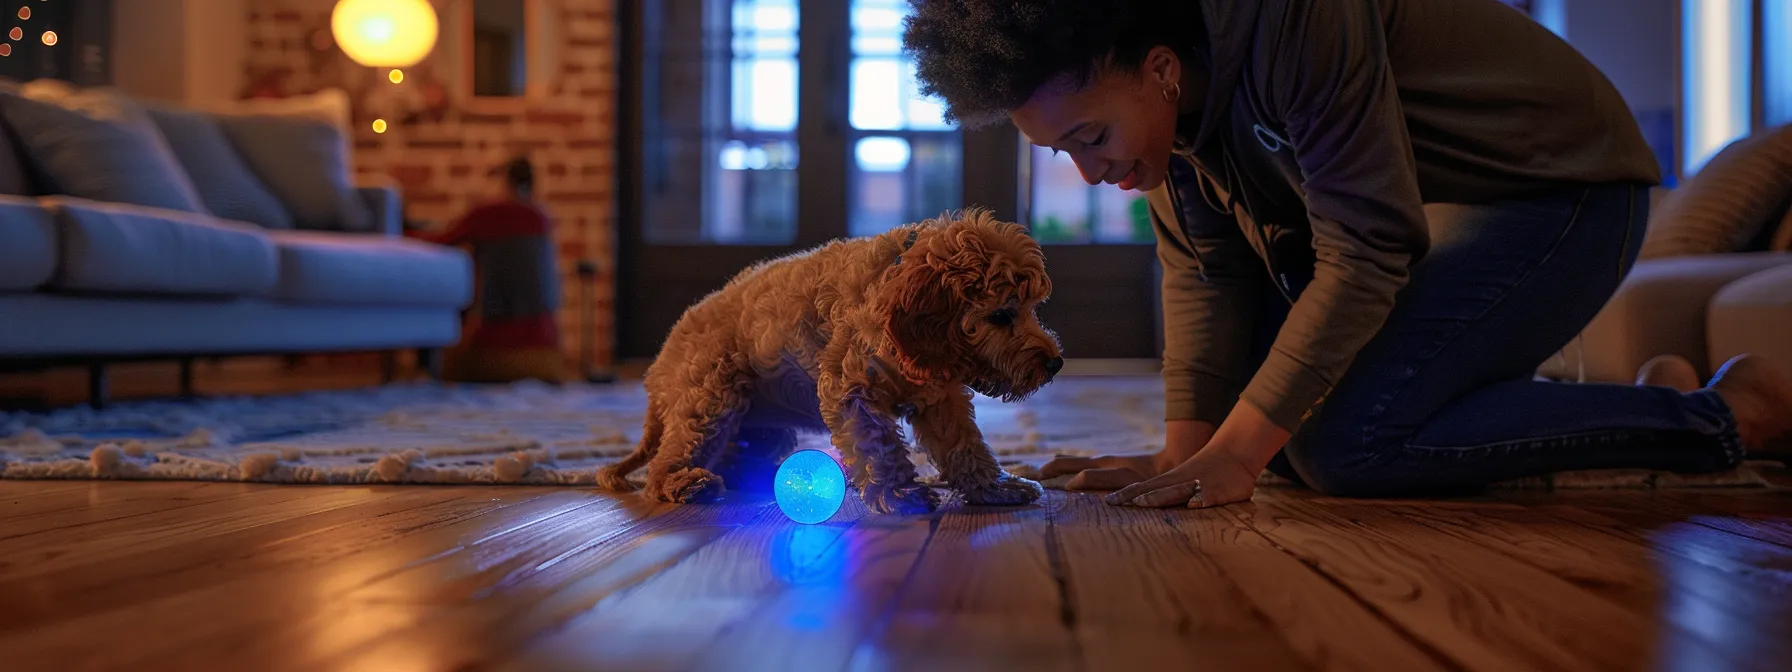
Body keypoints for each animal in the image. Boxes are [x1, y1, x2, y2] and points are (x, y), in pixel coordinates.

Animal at [594, 210, 1060, 516]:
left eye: (1033, 308)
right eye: (1002, 315)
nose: (1055, 364)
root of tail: (658, 375)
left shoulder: (941, 397)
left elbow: (965, 445)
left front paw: (994, 488)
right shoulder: (851, 388)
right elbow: (880, 445)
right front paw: (901, 495)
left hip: (760, 426)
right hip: (710, 395)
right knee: (663, 464)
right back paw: (686, 482)